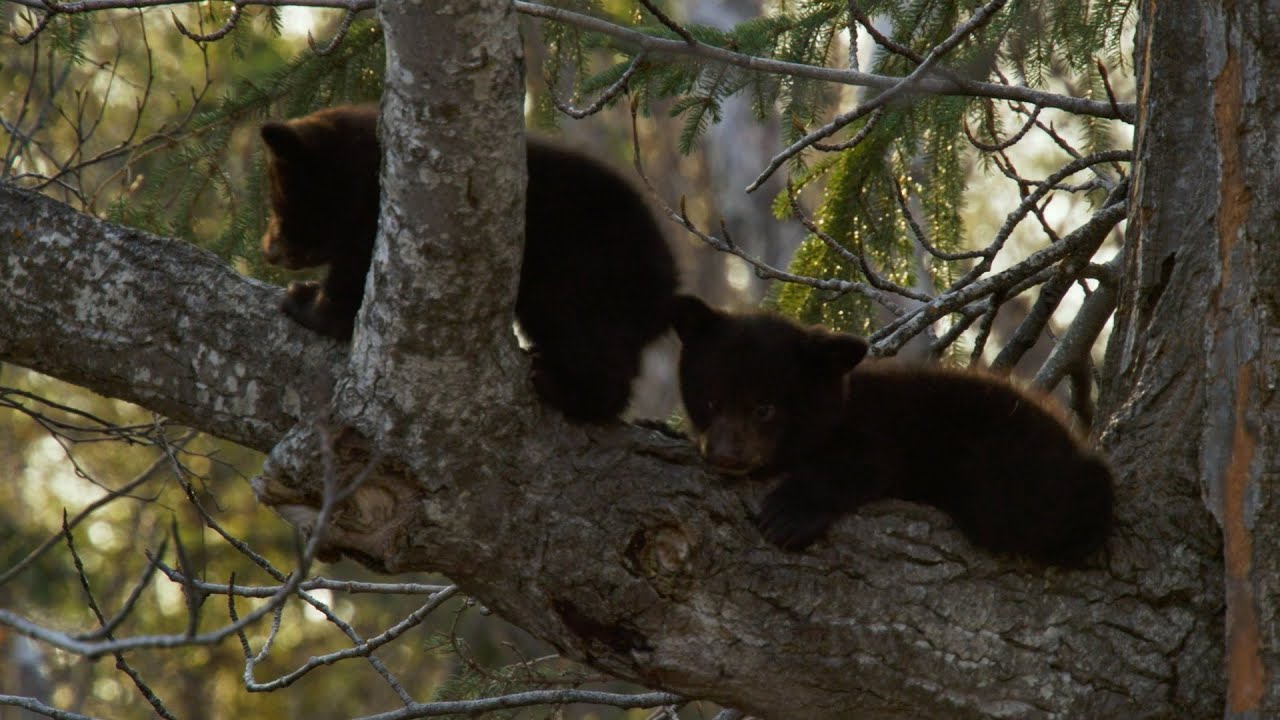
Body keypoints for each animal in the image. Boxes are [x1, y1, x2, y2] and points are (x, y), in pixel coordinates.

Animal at [259, 104, 678, 424]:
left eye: (281, 202)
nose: (268, 251)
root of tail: (666, 293)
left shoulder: (378, 225)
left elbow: (353, 288)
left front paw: (304, 300)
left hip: (587, 277)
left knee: (587, 344)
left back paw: (562, 388)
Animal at [669, 295, 1115, 567]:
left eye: (765, 408)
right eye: (711, 401)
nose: (725, 455)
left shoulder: (882, 427)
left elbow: (867, 462)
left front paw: (788, 513)